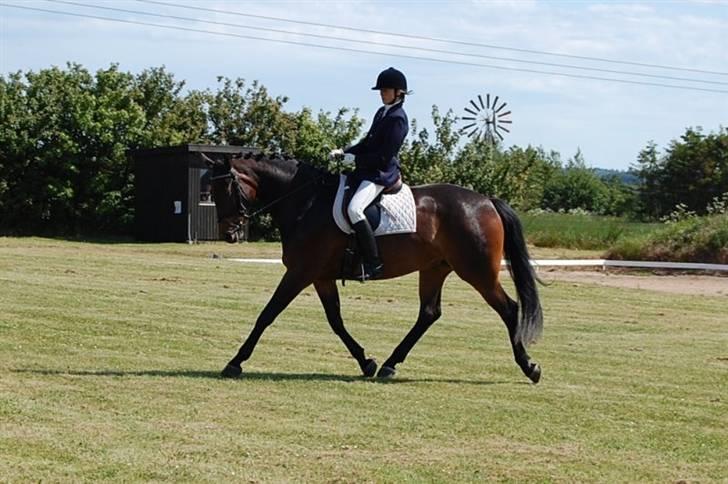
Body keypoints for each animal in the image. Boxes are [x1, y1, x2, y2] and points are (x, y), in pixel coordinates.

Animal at [202, 151, 544, 382]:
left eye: (226, 189)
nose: (229, 234)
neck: (306, 201)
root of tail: (486, 201)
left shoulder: (300, 272)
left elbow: (267, 314)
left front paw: (235, 362)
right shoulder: (320, 276)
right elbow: (335, 320)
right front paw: (366, 362)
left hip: (477, 272)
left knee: (509, 308)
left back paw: (530, 367)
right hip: (435, 268)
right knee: (429, 313)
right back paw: (390, 364)